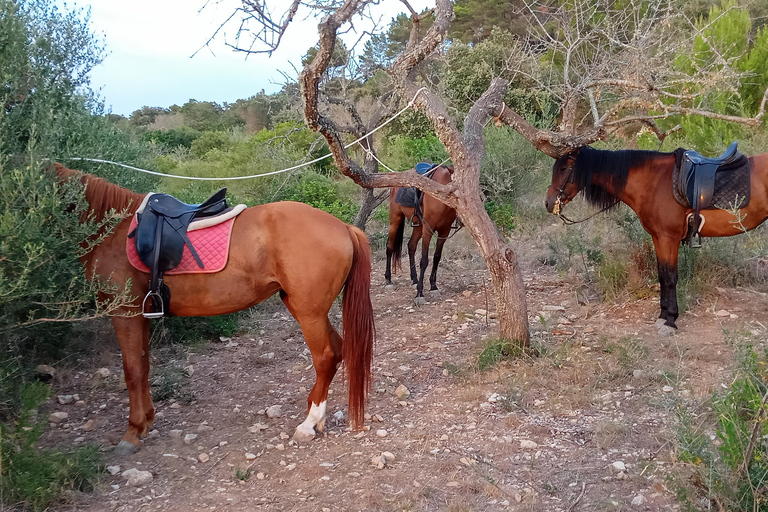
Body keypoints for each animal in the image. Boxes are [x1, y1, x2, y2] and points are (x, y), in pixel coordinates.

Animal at [54, 164, 376, 452]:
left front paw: (132, 433)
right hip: (304, 308)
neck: (113, 229)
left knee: (325, 357)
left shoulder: (124, 313)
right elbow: (143, 367)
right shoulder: (140, 314)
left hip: (309, 313)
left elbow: (132, 370)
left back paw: (309, 423)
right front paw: (145, 421)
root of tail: (343, 227)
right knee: (337, 350)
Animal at [384, 165, 456, 304]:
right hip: (395, 220)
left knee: (411, 246)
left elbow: (436, 257)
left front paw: (433, 287)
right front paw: (419, 293)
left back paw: (415, 279)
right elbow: (424, 260)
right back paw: (388, 280)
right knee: (389, 247)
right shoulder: (428, 230)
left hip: (418, 226)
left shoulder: (444, 231)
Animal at [544, 146, 768, 336]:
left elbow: (670, 278)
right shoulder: (658, 237)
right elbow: (662, 276)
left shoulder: (669, 238)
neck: (653, 182)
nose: (548, 202)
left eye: (563, 169)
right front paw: (663, 315)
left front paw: (670, 321)